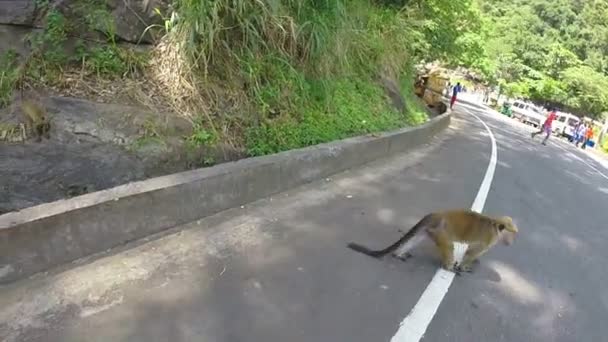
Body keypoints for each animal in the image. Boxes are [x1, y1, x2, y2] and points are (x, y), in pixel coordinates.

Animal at [346, 210, 516, 274]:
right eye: (511, 236)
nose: (511, 242)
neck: (495, 227)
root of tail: (436, 215)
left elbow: (471, 250)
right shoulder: (489, 239)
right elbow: (473, 252)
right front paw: (465, 266)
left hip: (430, 230)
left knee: (416, 238)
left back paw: (398, 254)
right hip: (440, 231)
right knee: (448, 245)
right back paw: (449, 267)